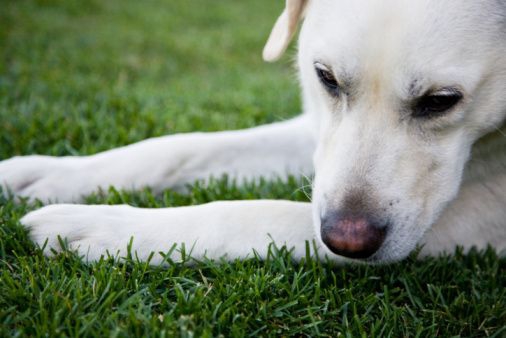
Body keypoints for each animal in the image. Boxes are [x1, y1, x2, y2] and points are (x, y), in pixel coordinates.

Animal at [0, 0, 506, 264]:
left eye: (441, 101)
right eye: (326, 77)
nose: (347, 239)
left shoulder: (471, 221)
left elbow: (257, 213)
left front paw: (108, 228)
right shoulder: (320, 140)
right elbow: (182, 148)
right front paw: (48, 176)